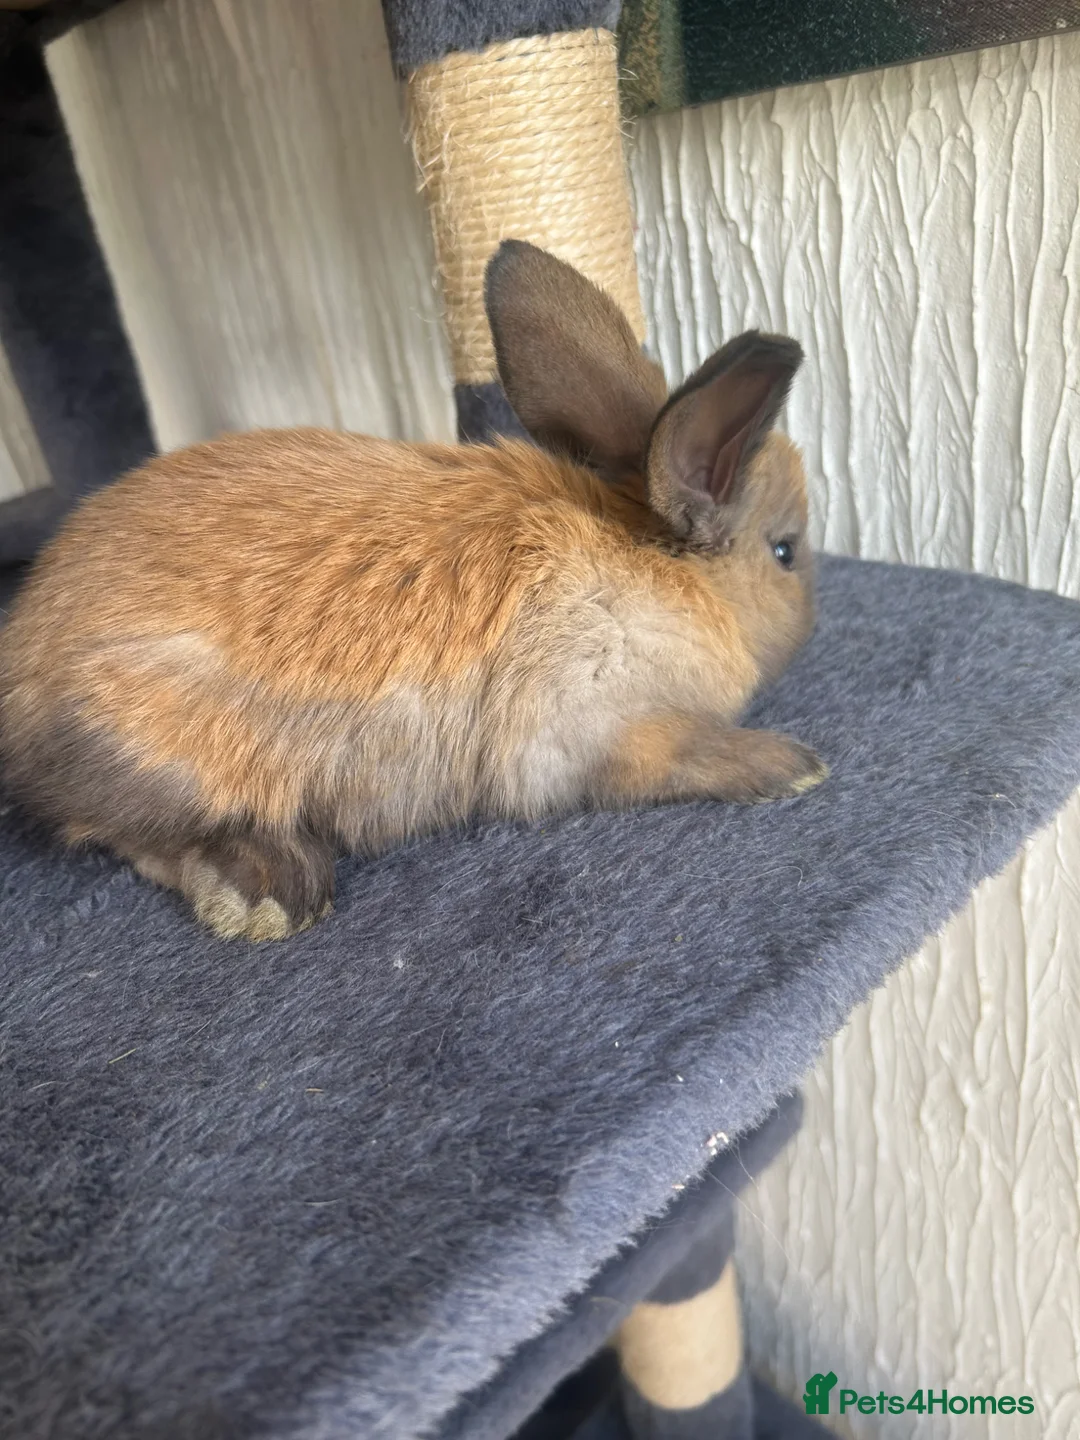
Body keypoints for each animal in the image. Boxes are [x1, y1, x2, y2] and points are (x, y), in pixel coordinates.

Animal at [0, 241, 825, 942]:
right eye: (786, 553)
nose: (813, 624)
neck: (663, 571)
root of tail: (21, 686)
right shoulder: (594, 726)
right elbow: (678, 754)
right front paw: (789, 765)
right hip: (170, 755)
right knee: (128, 833)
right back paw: (270, 891)